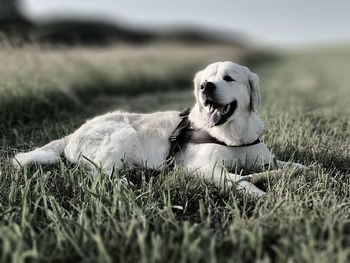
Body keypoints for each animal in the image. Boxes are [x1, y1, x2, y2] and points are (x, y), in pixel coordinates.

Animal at [13, 61, 304, 196]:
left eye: (228, 78)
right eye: (207, 78)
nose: (205, 87)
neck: (231, 135)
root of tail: (72, 134)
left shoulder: (262, 157)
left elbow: (295, 166)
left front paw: (294, 170)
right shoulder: (206, 169)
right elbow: (240, 181)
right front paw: (261, 194)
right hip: (124, 133)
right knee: (98, 172)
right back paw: (124, 181)